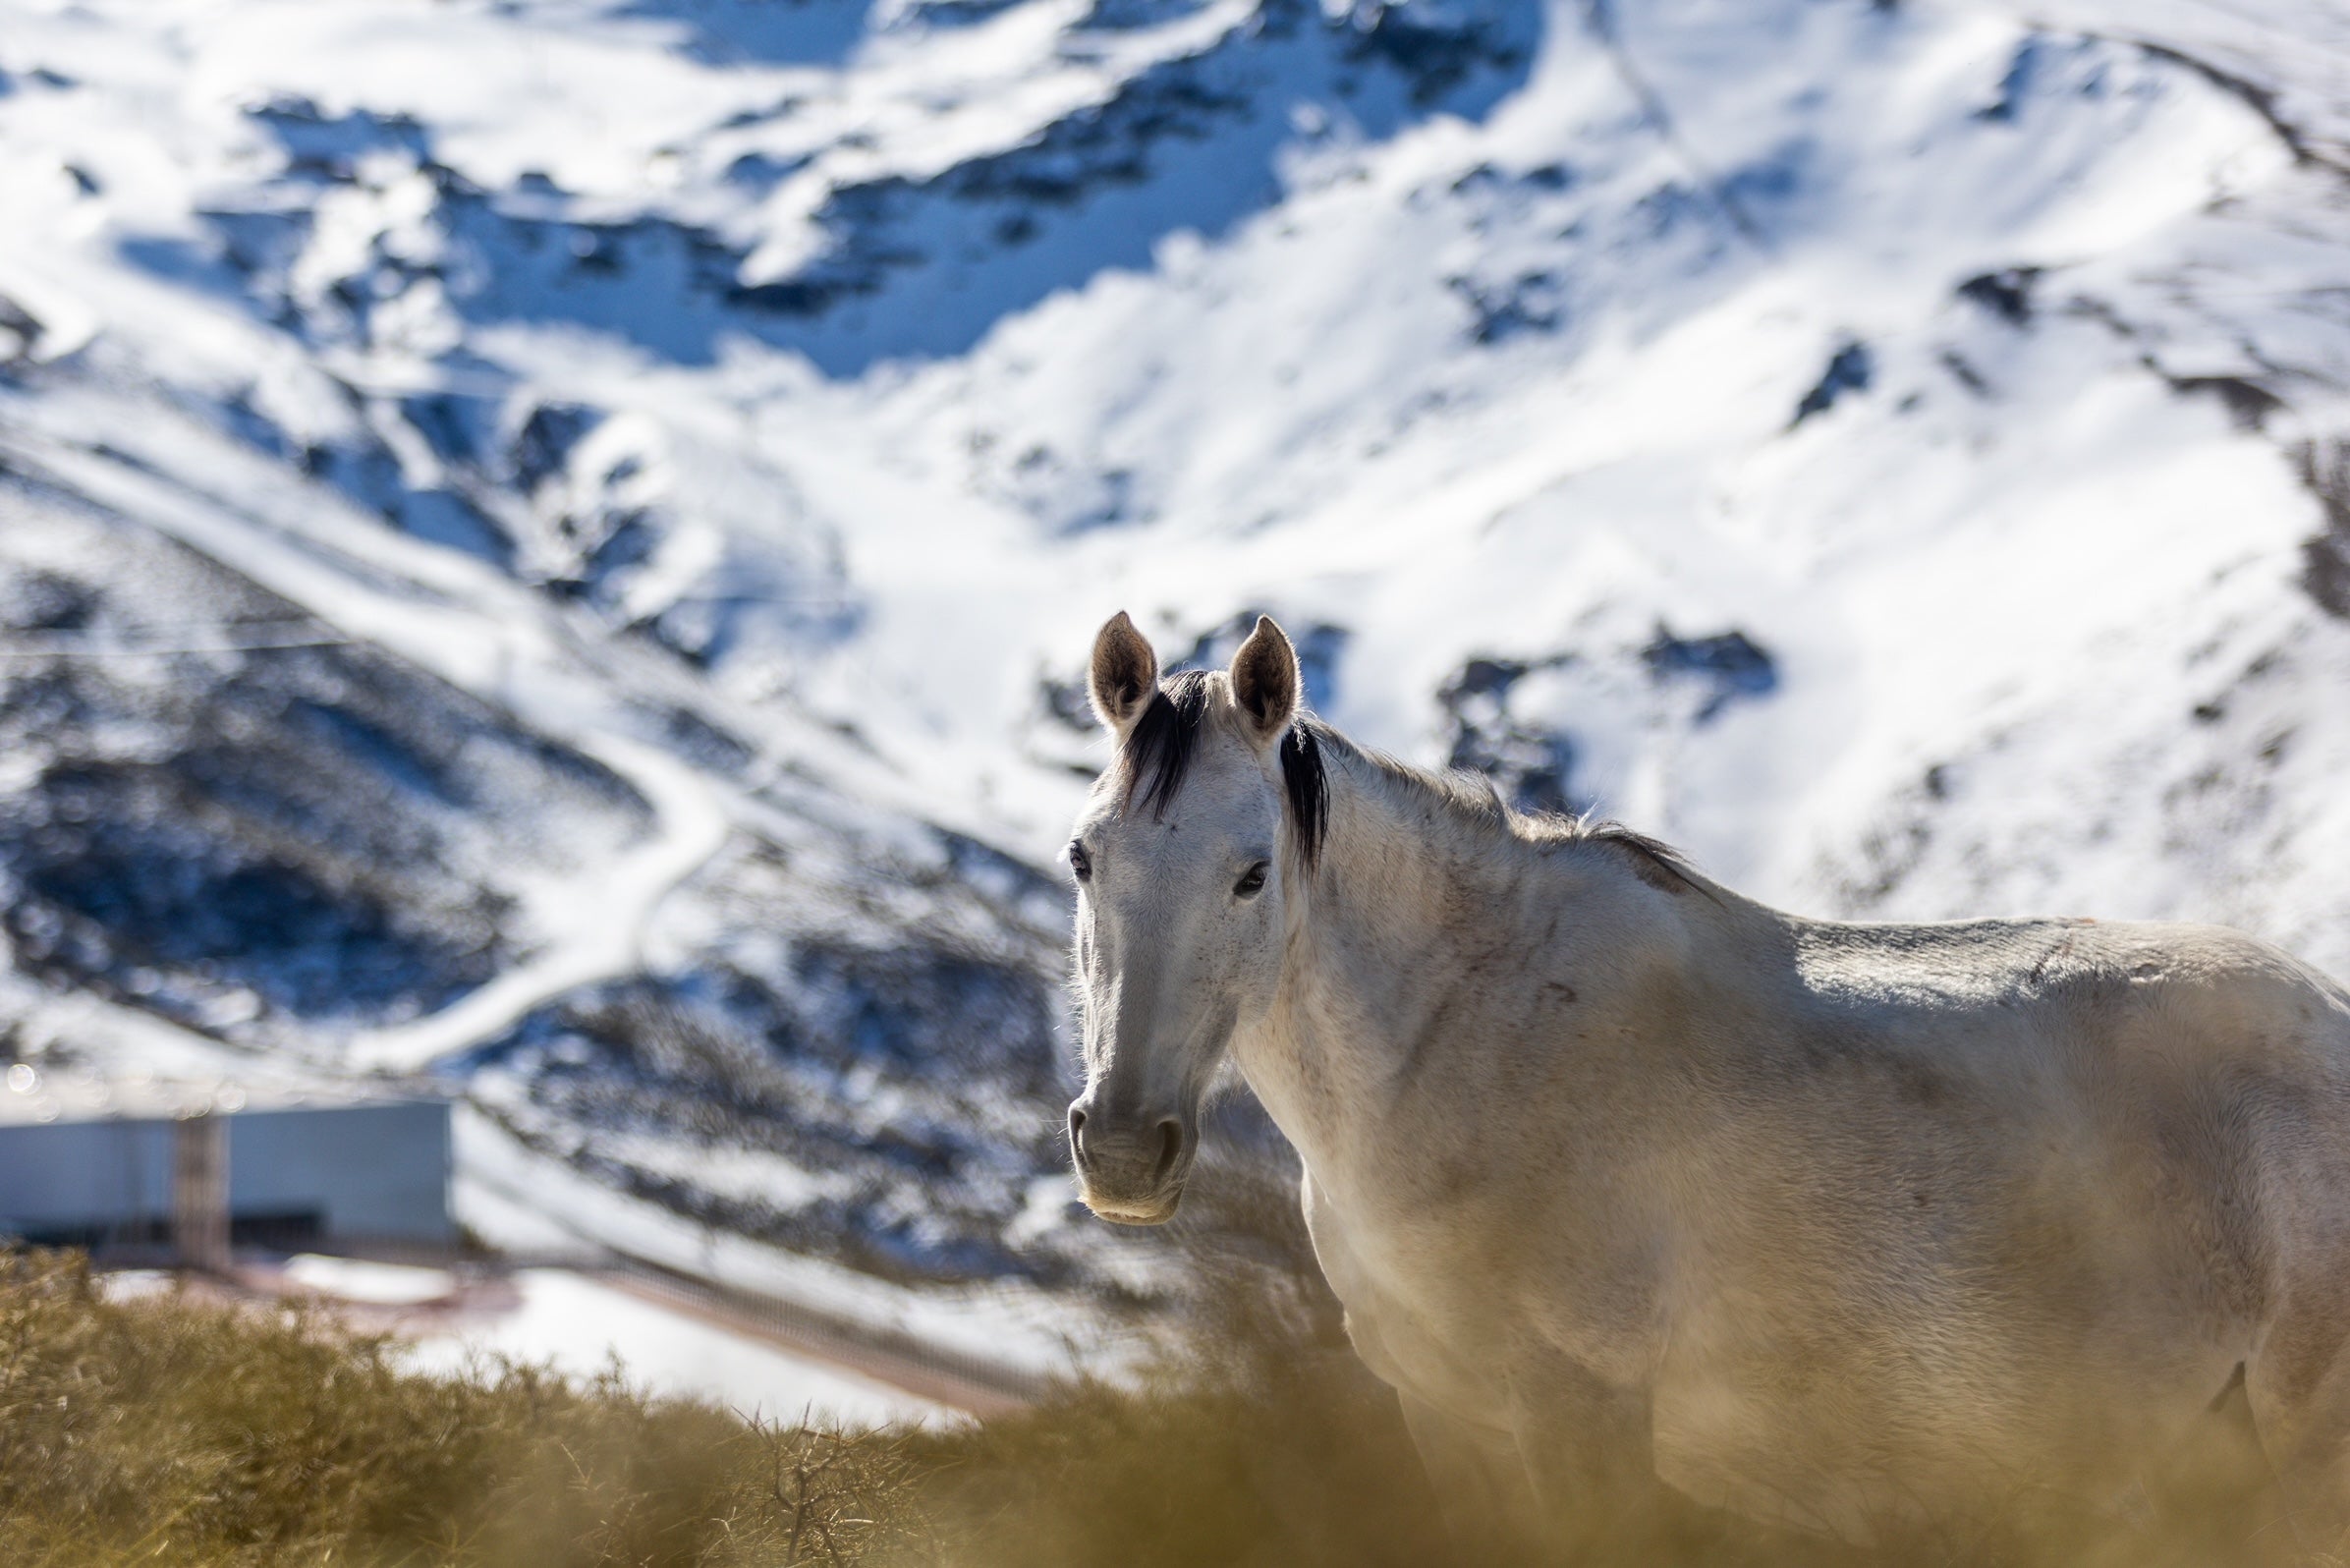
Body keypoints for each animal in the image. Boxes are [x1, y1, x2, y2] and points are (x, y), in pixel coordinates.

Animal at [1071, 611, 2350, 1541]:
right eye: (1084, 858)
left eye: (1252, 873)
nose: (1124, 1148)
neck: (1456, 1043)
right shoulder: (1443, 1416)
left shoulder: (1582, 1414)